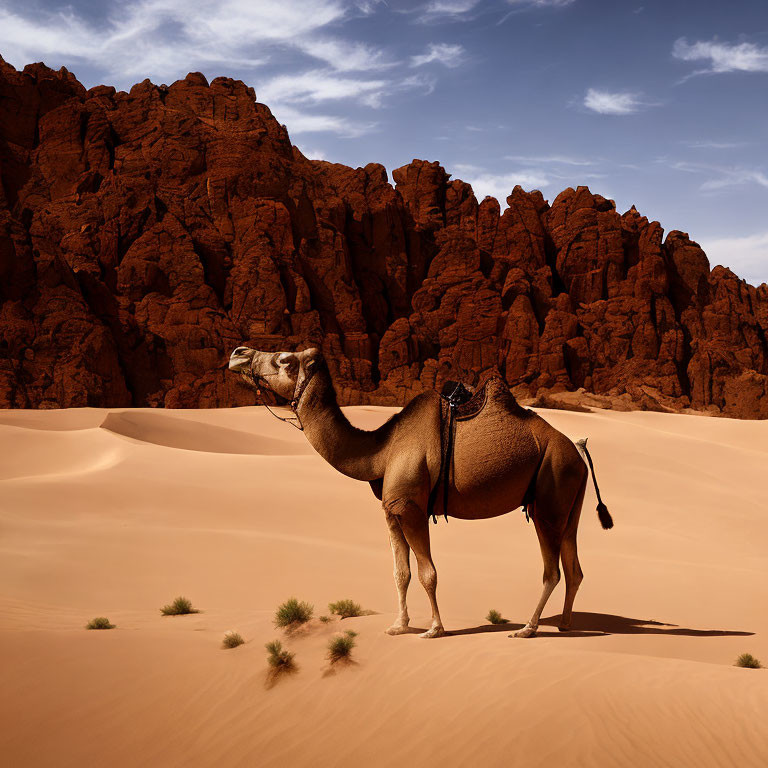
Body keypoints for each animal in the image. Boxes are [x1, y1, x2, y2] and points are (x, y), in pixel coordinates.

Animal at [228, 344, 612, 640]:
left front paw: (435, 629)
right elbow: (401, 573)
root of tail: (578, 448)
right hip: (568, 501)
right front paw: (398, 626)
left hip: (548, 497)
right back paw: (565, 624)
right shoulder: (391, 511)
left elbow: (429, 573)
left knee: (552, 570)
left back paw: (528, 628)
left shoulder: (410, 507)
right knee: (573, 566)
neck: (380, 451)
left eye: (285, 359)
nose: (238, 354)